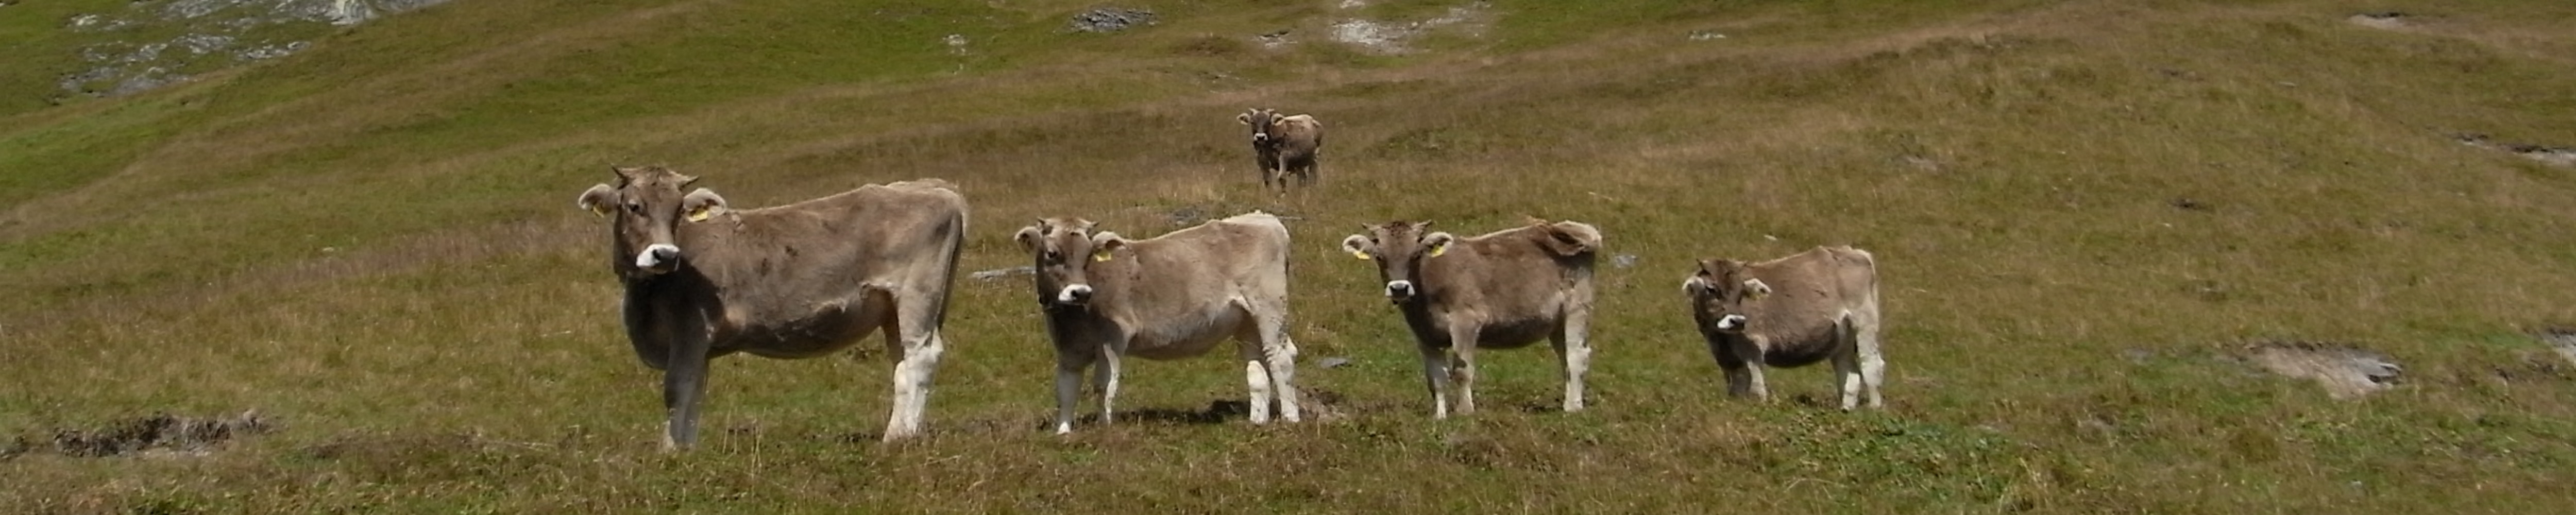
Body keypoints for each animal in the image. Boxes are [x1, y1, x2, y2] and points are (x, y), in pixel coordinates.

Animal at [573, 166, 967, 449]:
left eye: (679, 211)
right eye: (634, 207)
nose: (665, 254)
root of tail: (933, 187)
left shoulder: (691, 328)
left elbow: (677, 389)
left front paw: (671, 453)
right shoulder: (699, 344)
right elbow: (695, 392)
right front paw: (688, 450)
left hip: (917, 294)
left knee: (921, 357)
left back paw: (898, 439)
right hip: (892, 310)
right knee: (903, 363)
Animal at [1014, 212, 1302, 434]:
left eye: (1089, 256)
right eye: (1052, 254)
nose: (1080, 292)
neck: (1073, 317)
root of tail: (1263, 218)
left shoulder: (1112, 339)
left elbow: (1104, 386)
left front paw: (1104, 430)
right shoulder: (1068, 348)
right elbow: (1066, 388)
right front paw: (1063, 433)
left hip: (1269, 307)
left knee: (1279, 357)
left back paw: (1290, 420)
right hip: (1245, 321)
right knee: (1257, 367)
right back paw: (1257, 422)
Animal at [1236, 108, 1324, 192]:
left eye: (1269, 123)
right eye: (1252, 122)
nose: (1260, 137)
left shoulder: (1284, 156)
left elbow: (1282, 177)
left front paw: (1283, 195)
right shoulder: (1261, 160)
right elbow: (1267, 180)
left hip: (1314, 159)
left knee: (1312, 176)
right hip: (1299, 164)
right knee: (1302, 178)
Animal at [1339, 218, 1601, 419]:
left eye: (1416, 255)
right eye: (1379, 256)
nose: (1400, 289)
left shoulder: (1466, 322)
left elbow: (1462, 371)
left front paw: (1465, 412)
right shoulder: (1424, 335)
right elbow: (1436, 378)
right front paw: (1440, 417)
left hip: (1577, 309)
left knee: (1577, 355)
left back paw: (1573, 408)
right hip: (1556, 323)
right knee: (1565, 359)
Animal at [1681, 246, 1885, 410]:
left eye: (1742, 292)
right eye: (1711, 289)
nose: (1737, 321)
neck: (1722, 338)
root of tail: (1854, 251)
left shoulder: (1753, 348)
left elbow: (1757, 387)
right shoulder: (1723, 355)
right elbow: (1736, 387)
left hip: (1865, 321)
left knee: (1871, 364)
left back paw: (1874, 408)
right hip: (1842, 337)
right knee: (1849, 372)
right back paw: (1846, 409)